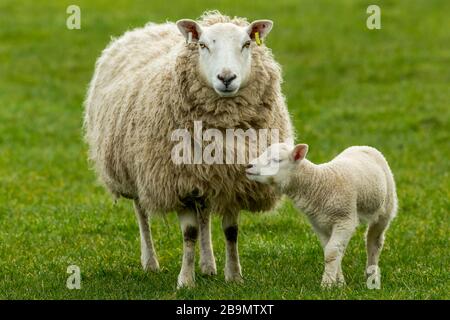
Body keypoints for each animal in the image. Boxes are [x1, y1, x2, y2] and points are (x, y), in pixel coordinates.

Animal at [83, 11, 296, 288]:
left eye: (247, 44)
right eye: (203, 45)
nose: (226, 78)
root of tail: (147, 28)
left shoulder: (232, 180)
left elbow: (231, 232)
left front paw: (234, 276)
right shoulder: (178, 181)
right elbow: (189, 233)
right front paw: (185, 280)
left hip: (202, 176)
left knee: (204, 214)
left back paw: (208, 265)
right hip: (133, 171)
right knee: (142, 213)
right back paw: (150, 262)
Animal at [246, 142, 398, 288]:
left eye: (277, 160)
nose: (248, 165)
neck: (320, 184)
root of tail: (364, 147)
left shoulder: (345, 220)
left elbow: (331, 253)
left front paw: (326, 285)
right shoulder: (318, 224)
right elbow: (331, 252)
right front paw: (339, 283)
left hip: (386, 208)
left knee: (374, 241)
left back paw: (372, 275)